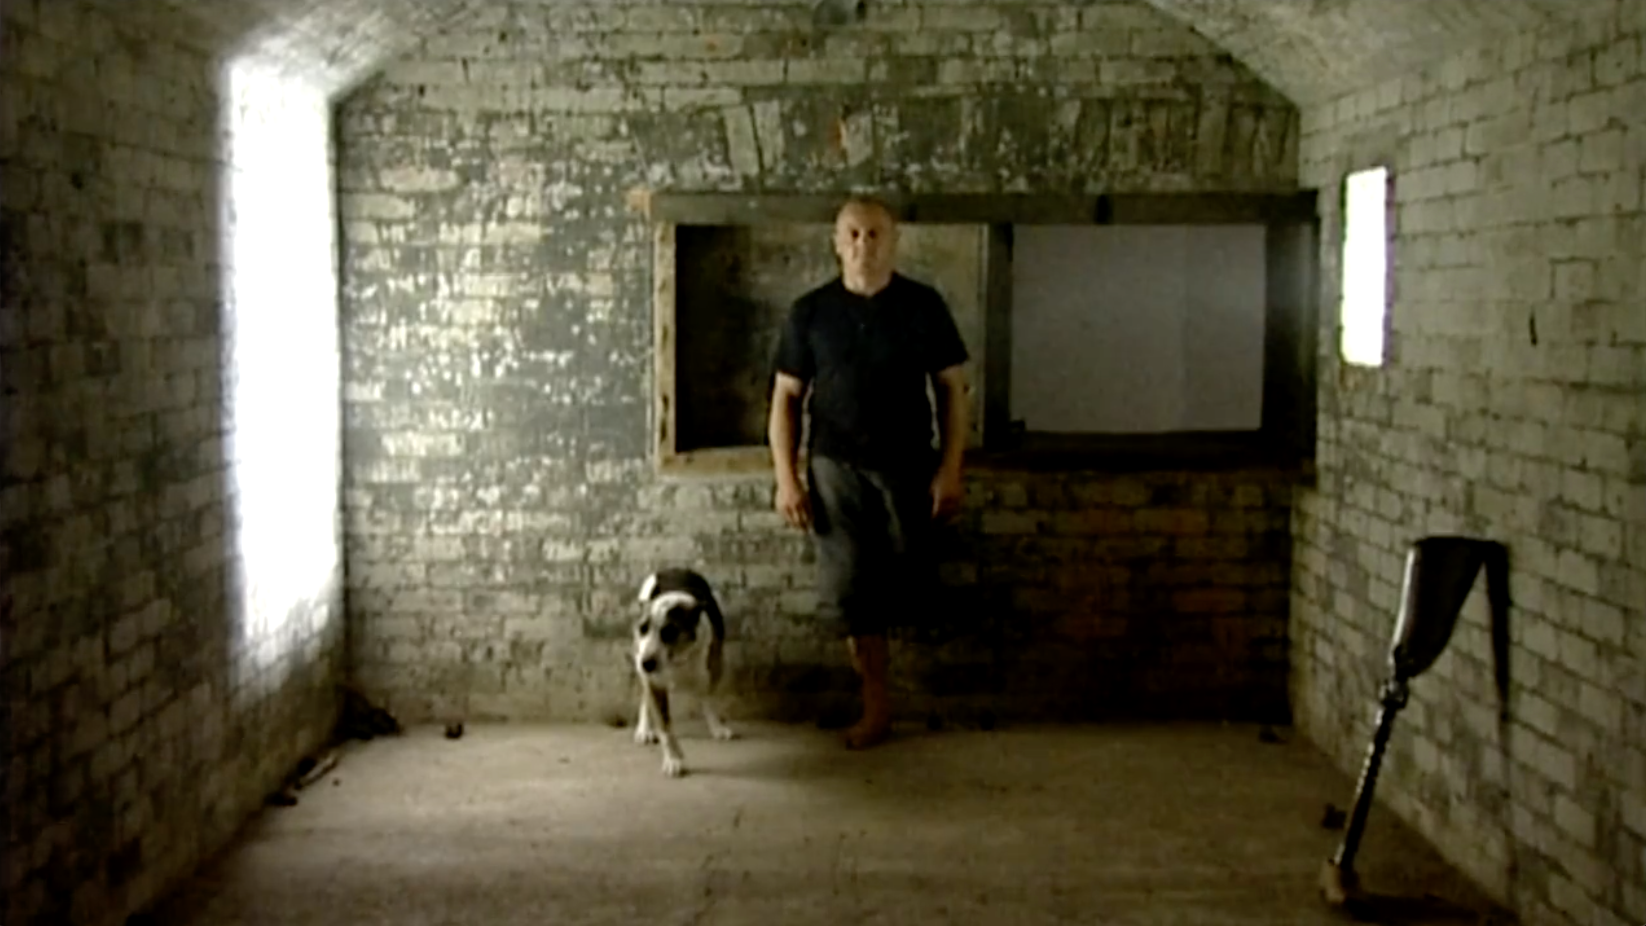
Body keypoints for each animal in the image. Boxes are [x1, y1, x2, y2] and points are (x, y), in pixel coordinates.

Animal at [628, 569, 734, 779]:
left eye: (669, 631)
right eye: (642, 628)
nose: (646, 663)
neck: (676, 658)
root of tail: (671, 569)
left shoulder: (711, 670)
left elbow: (707, 700)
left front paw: (717, 726)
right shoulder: (653, 681)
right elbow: (665, 726)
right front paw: (673, 759)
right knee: (644, 695)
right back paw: (644, 729)